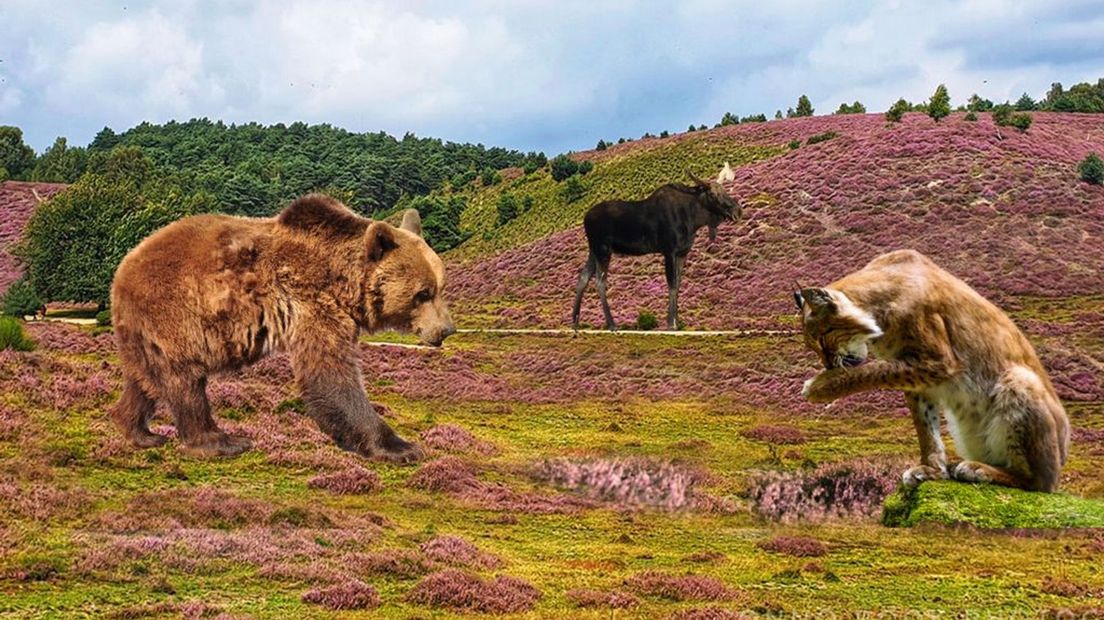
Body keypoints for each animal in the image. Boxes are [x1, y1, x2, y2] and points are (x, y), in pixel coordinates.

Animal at [109, 193, 454, 458]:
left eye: (440, 286)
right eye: (422, 293)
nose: (446, 329)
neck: (342, 280)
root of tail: (126, 263)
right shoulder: (312, 301)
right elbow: (330, 374)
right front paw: (400, 446)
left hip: (143, 330)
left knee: (144, 380)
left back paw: (139, 431)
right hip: (175, 314)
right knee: (184, 380)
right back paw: (221, 441)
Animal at [569, 162, 741, 330]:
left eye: (724, 191)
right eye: (713, 194)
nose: (738, 211)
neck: (693, 220)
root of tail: (585, 218)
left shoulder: (683, 253)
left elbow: (678, 283)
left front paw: (676, 320)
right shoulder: (669, 251)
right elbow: (672, 284)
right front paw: (671, 323)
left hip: (593, 251)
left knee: (583, 277)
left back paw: (575, 322)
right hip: (603, 249)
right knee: (600, 281)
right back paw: (611, 324)